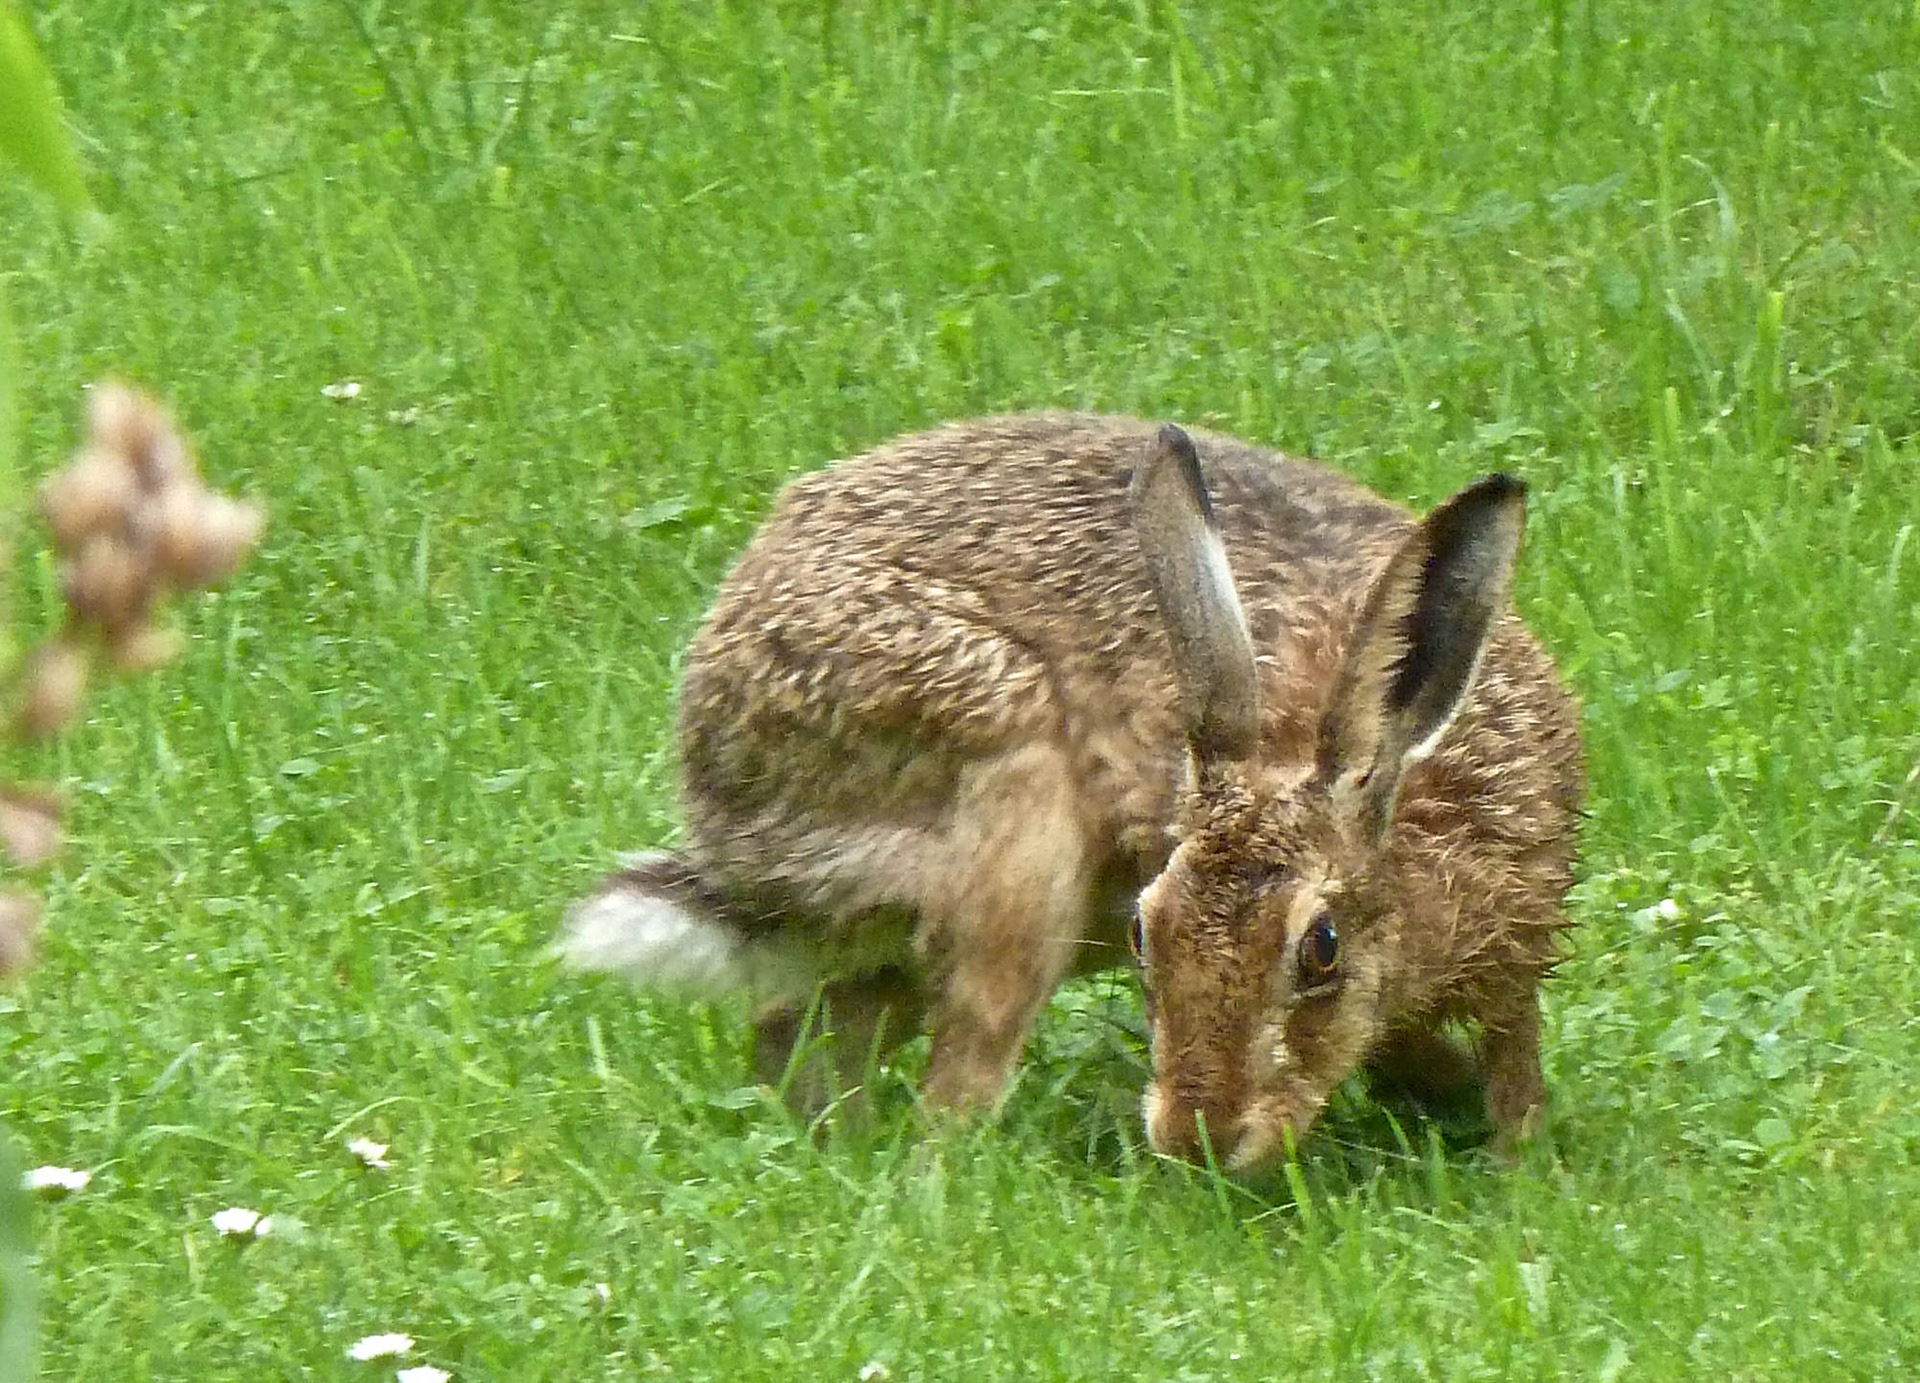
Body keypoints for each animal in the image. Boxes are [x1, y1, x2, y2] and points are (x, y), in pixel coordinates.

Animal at [558, 412, 1583, 1169]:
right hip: (1013, 834)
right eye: (1146, 932)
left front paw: (1514, 1155)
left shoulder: (1517, 943)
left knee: (805, 1032)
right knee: (949, 1085)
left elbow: (1510, 1057)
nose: (1198, 1138)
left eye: (1320, 947)